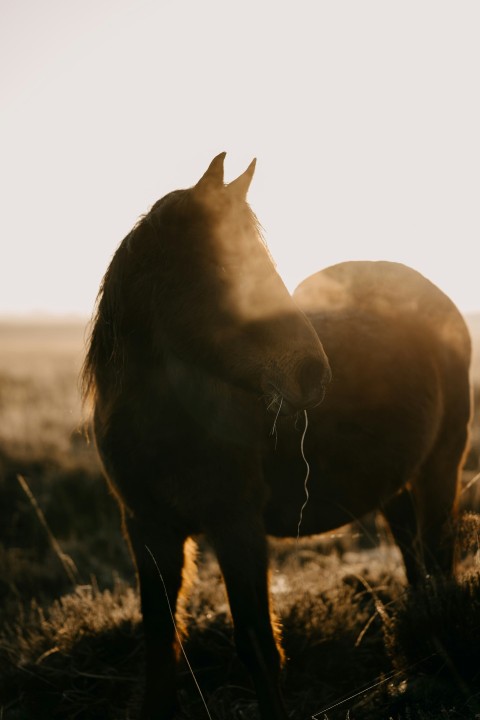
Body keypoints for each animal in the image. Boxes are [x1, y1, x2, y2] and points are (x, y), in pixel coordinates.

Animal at [83, 156, 472, 720]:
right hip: (396, 482)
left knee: (439, 556)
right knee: (412, 550)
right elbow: (160, 641)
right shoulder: (148, 529)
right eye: (229, 271)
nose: (315, 374)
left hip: (441, 465)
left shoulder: (238, 526)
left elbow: (258, 645)